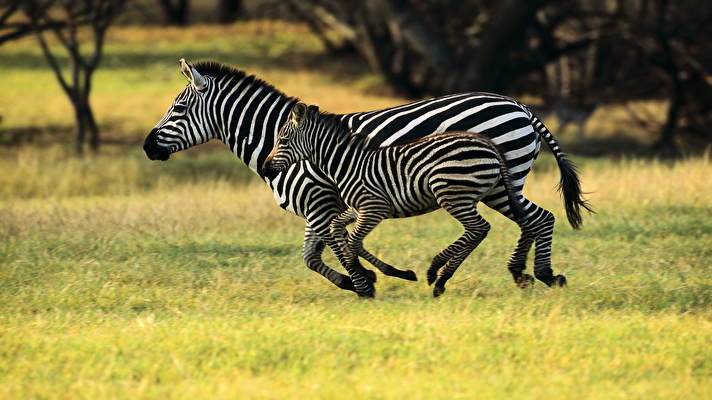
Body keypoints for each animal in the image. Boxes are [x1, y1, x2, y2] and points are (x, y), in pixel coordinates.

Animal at [262, 103, 536, 296]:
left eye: (282, 140)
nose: (265, 168)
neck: (348, 164)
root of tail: (490, 146)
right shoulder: (358, 209)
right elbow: (340, 230)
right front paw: (368, 274)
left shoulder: (374, 208)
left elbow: (352, 241)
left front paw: (367, 279)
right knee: (482, 229)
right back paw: (441, 278)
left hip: (451, 192)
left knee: (479, 228)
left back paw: (437, 273)